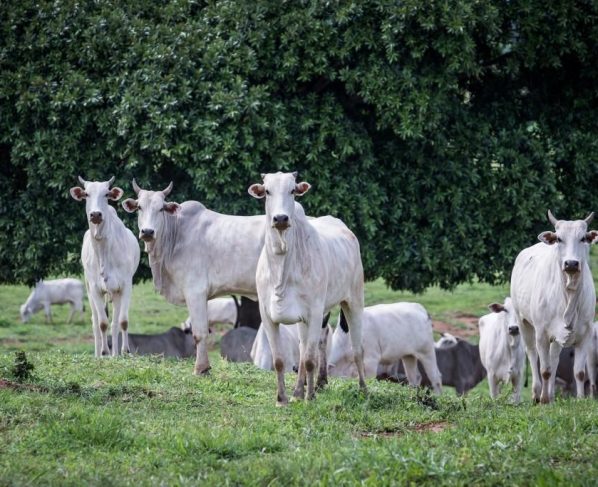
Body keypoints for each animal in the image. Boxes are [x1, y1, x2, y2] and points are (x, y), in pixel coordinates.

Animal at [69, 177, 141, 356]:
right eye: (86, 194)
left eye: (106, 194)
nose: (95, 214)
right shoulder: (95, 289)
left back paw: (116, 353)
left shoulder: (125, 286)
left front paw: (125, 351)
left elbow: (122, 321)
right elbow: (102, 323)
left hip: (115, 293)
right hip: (89, 289)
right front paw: (104, 352)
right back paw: (99, 354)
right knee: (95, 322)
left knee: (115, 323)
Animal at [123, 181, 266, 376]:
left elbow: (199, 332)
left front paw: (201, 368)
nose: (147, 231)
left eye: (161, 208)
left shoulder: (195, 291)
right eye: (139, 207)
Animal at [247, 171, 368, 404]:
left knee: (357, 349)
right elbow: (280, 360)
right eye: (267, 191)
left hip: (354, 300)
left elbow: (311, 359)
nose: (281, 218)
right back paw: (297, 391)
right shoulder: (267, 316)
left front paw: (310, 397)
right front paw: (282, 398)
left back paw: (363, 389)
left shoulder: (314, 312)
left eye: (293, 190)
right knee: (303, 350)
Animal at [510, 210, 598, 404]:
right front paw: (543, 400)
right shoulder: (542, 333)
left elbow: (579, 373)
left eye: (583, 238)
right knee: (532, 354)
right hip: (523, 322)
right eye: (559, 238)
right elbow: (545, 370)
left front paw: (580, 399)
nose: (571, 263)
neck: (569, 297)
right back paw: (537, 394)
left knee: (554, 358)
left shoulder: (586, 335)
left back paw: (550, 394)